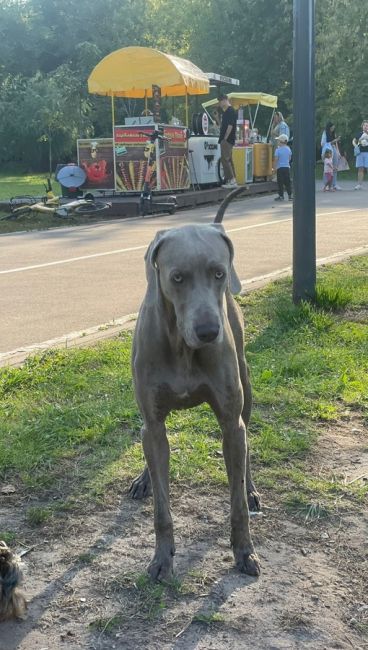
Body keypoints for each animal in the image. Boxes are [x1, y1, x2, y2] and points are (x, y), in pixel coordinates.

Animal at [131, 191, 260, 576]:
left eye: (218, 273)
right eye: (177, 277)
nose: (208, 332)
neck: (182, 348)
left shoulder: (230, 423)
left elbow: (236, 504)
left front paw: (244, 551)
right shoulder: (154, 420)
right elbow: (161, 507)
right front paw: (162, 558)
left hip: (245, 385)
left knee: (246, 438)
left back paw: (251, 487)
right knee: (147, 439)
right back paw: (144, 478)